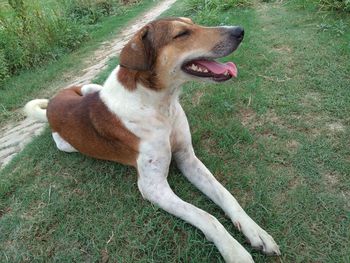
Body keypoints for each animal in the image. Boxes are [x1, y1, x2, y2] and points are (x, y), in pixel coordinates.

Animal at [24, 17, 280, 262]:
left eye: (192, 22)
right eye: (181, 34)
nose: (239, 31)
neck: (159, 104)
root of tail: (52, 102)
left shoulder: (187, 158)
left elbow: (226, 195)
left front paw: (255, 231)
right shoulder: (153, 187)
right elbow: (206, 216)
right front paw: (234, 251)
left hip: (89, 86)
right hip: (65, 145)